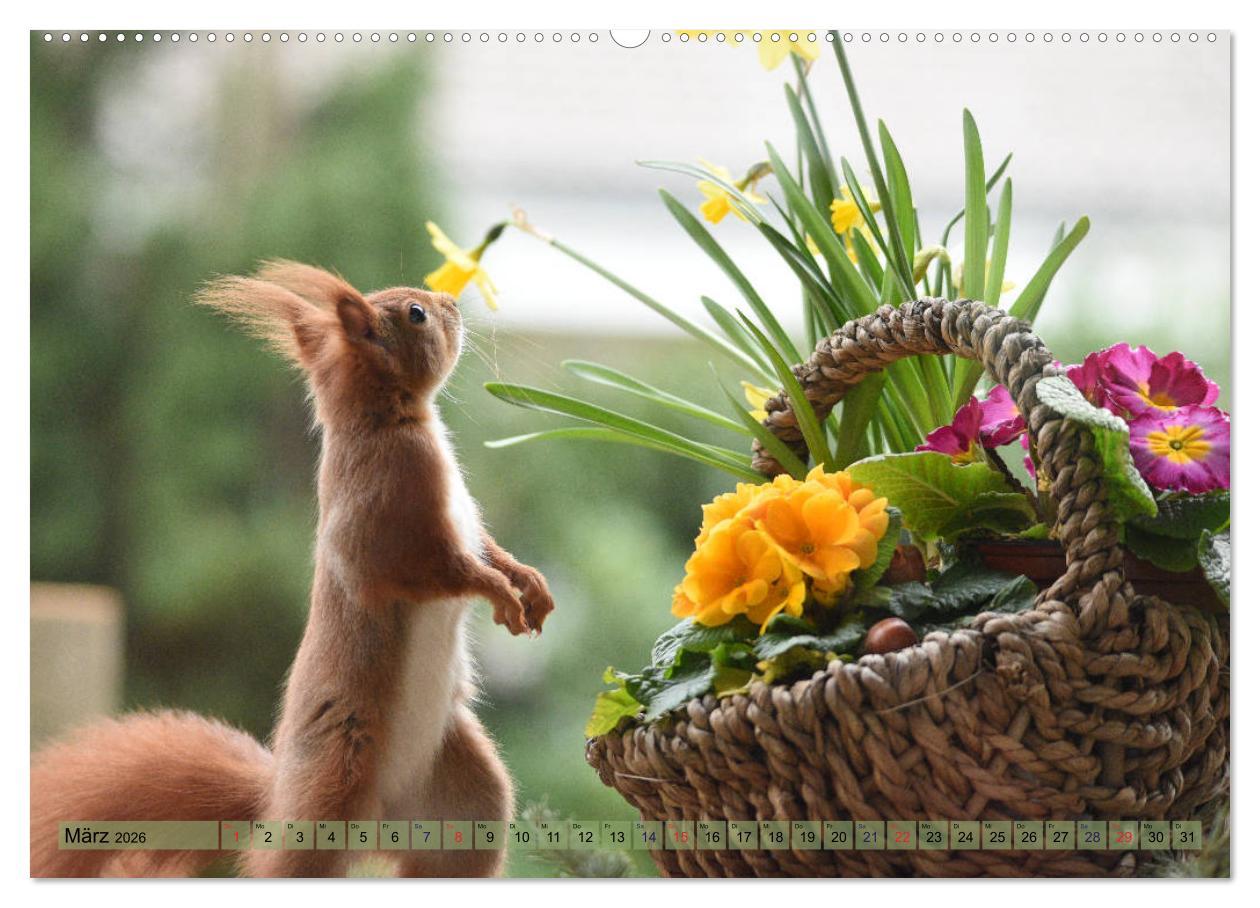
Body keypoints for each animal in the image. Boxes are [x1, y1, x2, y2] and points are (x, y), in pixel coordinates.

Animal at [30, 262, 554, 878]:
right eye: (416, 314)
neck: (381, 418)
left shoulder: (463, 521)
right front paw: (499, 592)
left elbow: (487, 549)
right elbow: (433, 570)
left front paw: (529, 583)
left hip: (465, 803)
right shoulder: (385, 520)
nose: (451, 304)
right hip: (329, 790)